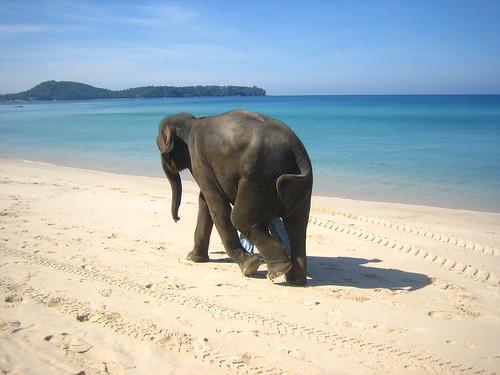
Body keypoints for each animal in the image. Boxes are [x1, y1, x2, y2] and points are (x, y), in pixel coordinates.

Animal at [156, 109, 312, 284]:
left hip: (259, 178)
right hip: (298, 186)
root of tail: (296, 149)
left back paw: (276, 271)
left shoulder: (198, 159)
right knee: (297, 227)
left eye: (159, 147)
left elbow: (217, 207)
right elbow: (205, 201)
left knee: (240, 219)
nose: (177, 219)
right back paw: (295, 280)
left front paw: (249, 267)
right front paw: (194, 258)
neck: (191, 122)